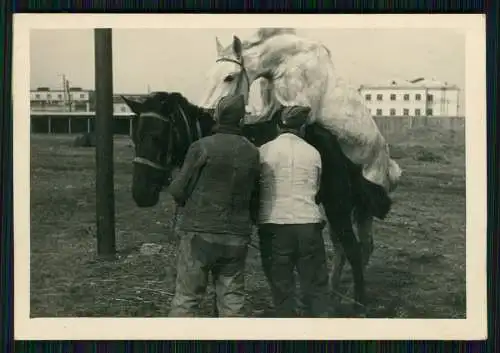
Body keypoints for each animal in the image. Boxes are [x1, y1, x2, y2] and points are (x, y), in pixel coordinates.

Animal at [123, 91, 392, 308]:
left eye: (157, 136)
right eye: (134, 137)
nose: (140, 194)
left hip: (338, 205)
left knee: (353, 248)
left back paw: (357, 303)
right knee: (344, 248)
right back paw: (333, 295)